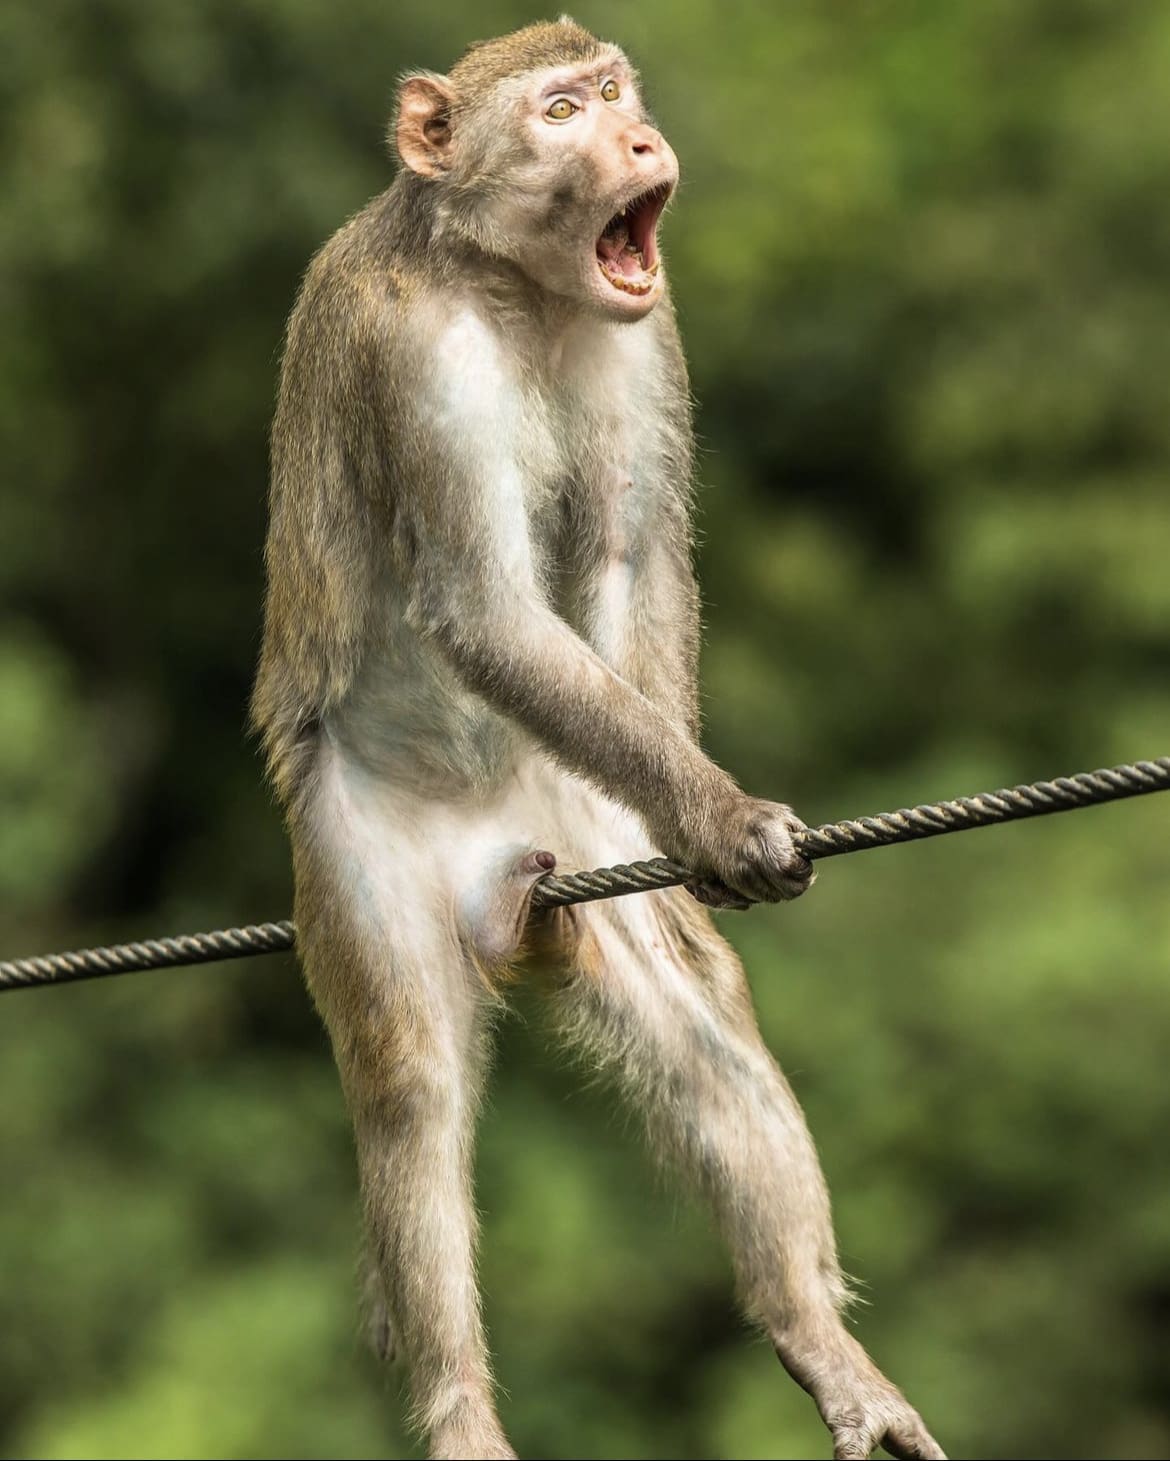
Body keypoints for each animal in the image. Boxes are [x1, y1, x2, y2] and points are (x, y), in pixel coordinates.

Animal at [250, 18, 945, 1461]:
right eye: (561, 111)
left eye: (615, 91)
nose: (635, 138)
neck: (512, 286)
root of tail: (495, 874)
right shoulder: (414, 357)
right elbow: (485, 609)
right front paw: (722, 815)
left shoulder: (644, 329)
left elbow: (630, 557)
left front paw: (696, 826)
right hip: (355, 856)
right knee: (409, 1084)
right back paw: (461, 1413)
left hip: (563, 825)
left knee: (700, 1034)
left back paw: (820, 1343)